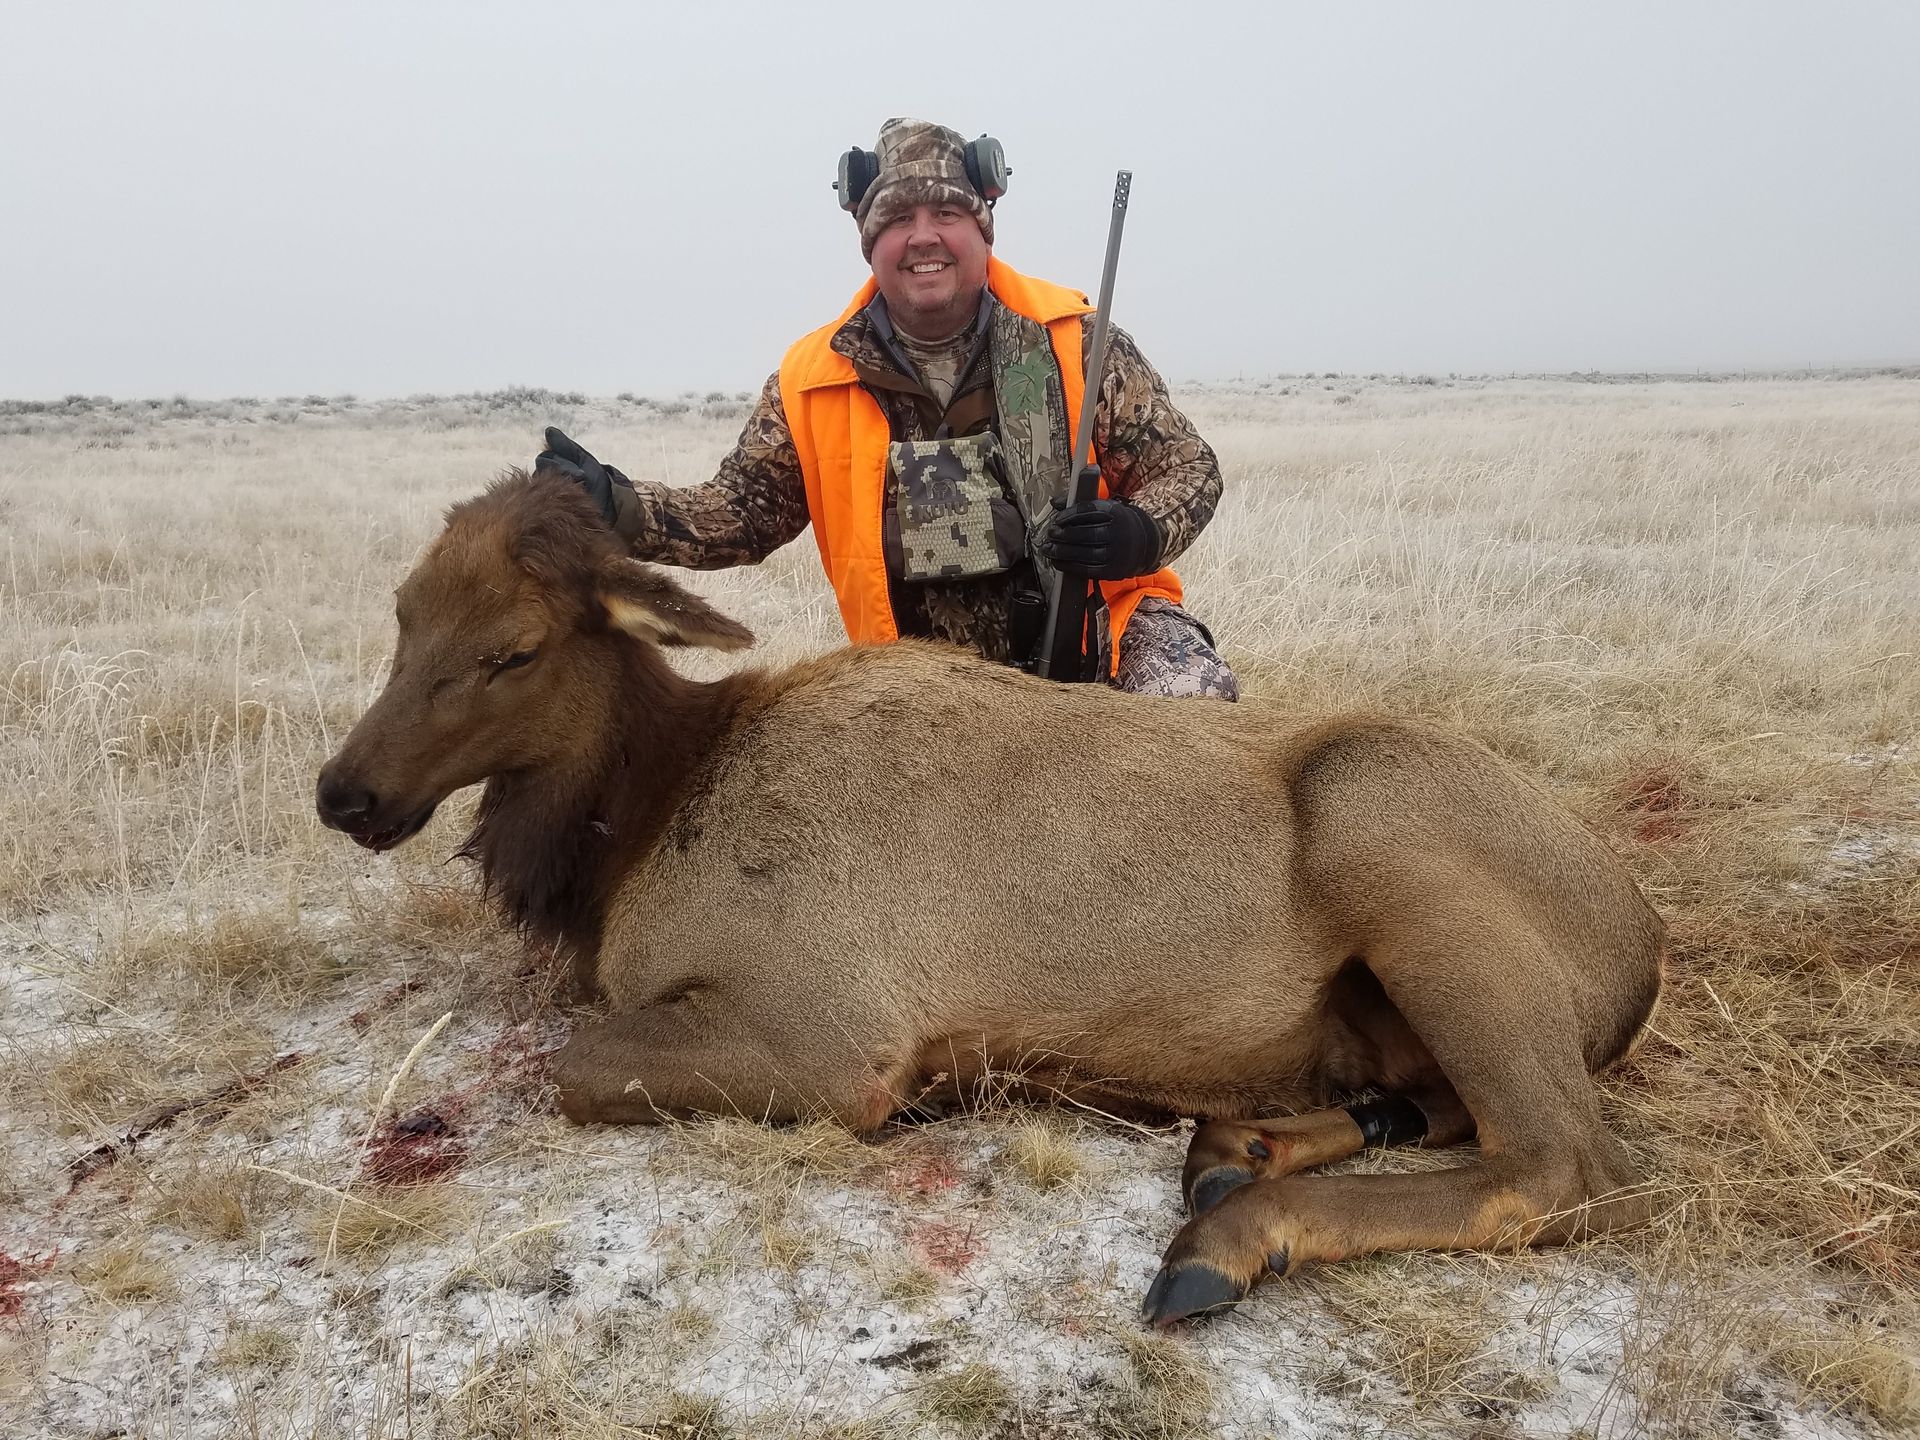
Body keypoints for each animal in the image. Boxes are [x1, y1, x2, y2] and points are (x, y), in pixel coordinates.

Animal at [316, 470, 1666, 1327]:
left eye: (514, 648)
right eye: (403, 613)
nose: (347, 792)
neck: (638, 826)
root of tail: (1641, 951)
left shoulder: (829, 1035)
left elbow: (577, 1064)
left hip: (1391, 833)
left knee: (1566, 1164)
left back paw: (1228, 1240)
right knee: (1431, 1110)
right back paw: (1240, 1148)